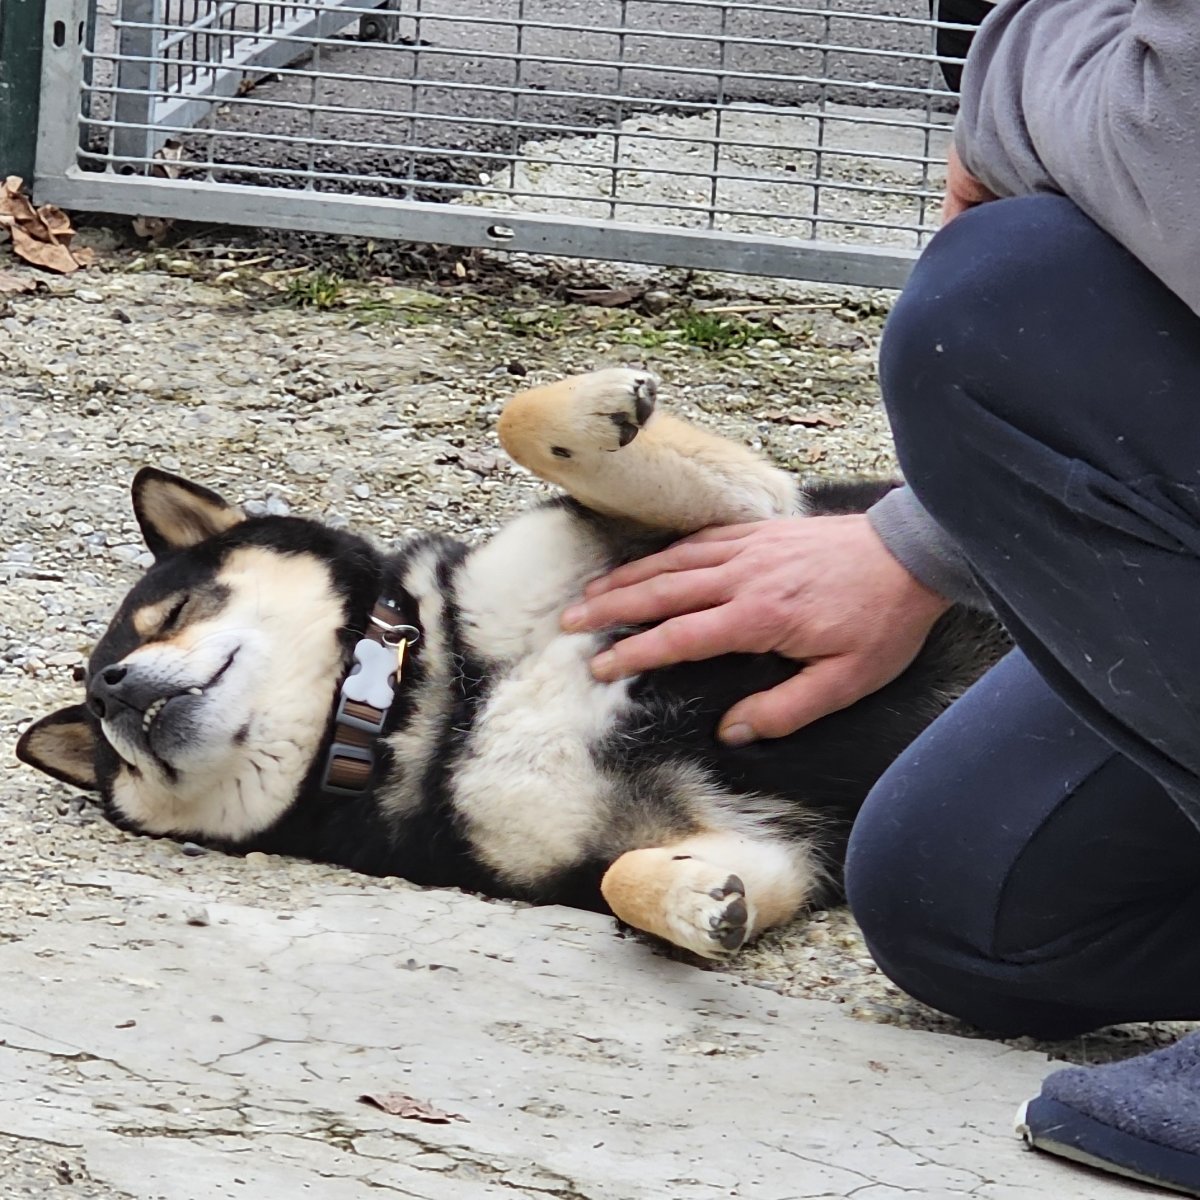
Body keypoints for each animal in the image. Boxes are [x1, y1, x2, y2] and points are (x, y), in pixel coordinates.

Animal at [16, 368, 1004, 959]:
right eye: (110, 751)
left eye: (171, 614)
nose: (108, 689)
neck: (433, 707)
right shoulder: (761, 848)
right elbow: (624, 881)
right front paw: (702, 906)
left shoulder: (752, 524)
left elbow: (520, 418)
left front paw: (608, 403)